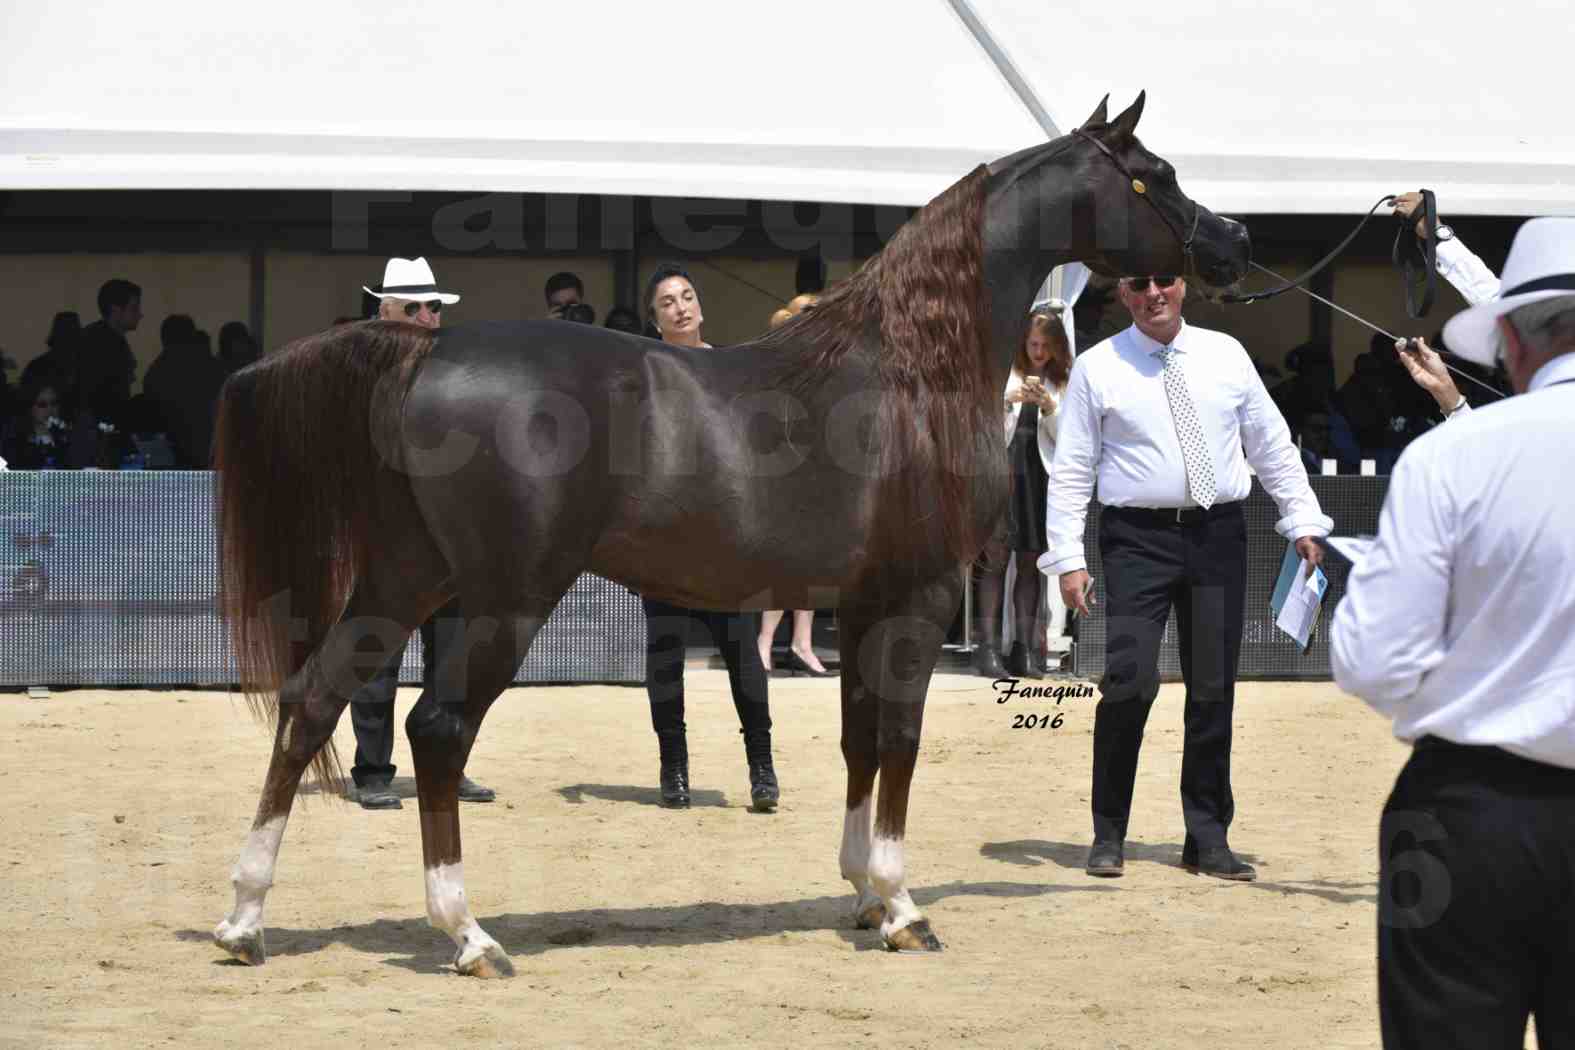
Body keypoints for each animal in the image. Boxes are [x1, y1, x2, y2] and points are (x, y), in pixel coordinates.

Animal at [209, 92, 1247, 976]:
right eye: (1153, 172)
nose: (1233, 243)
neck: (909, 370)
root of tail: (426, 349)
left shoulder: (861, 607)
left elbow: (858, 740)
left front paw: (861, 893)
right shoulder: (919, 598)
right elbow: (899, 740)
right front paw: (904, 909)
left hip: (402, 581)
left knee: (311, 700)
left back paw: (245, 919)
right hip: (505, 599)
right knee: (435, 727)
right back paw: (468, 935)